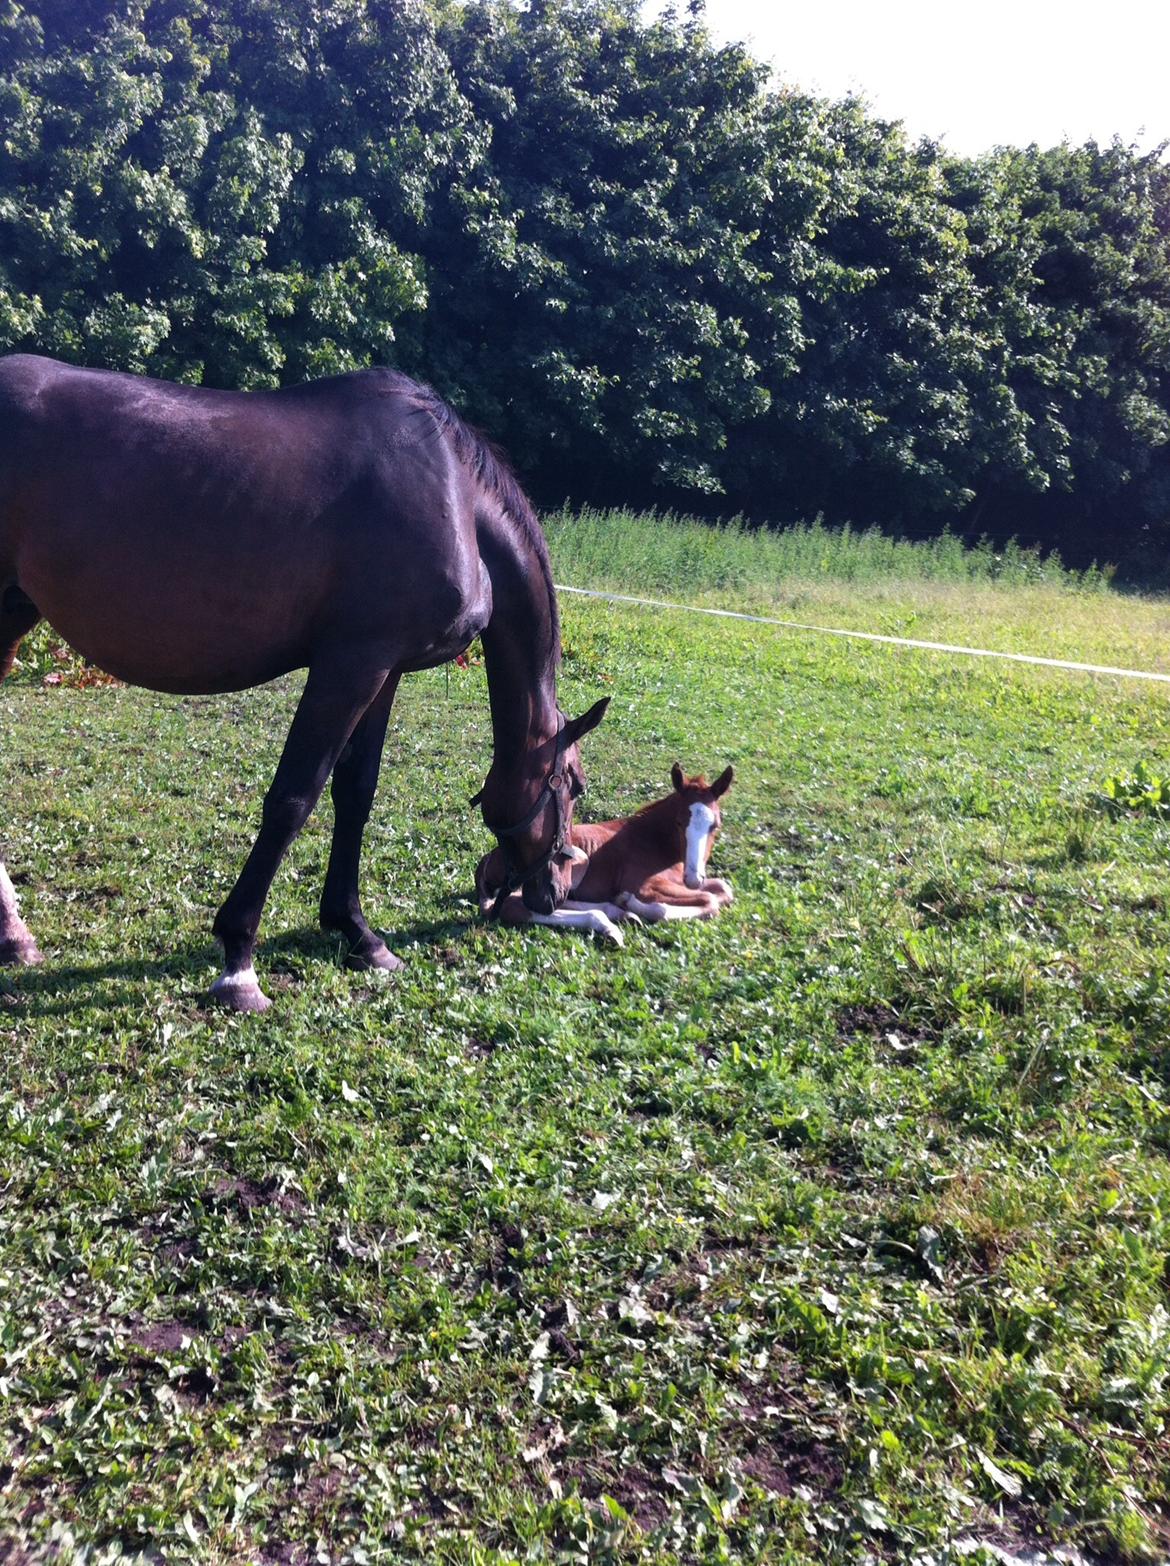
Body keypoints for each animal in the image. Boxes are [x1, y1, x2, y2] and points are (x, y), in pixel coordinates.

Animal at [0, 353, 604, 1008]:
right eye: (574, 785)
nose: (558, 889)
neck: (456, 496)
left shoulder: (385, 671)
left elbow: (355, 793)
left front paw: (358, 932)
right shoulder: (350, 666)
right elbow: (294, 798)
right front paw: (239, 960)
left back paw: (14, 937)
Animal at [476, 761, 733, 939]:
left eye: (716, 825)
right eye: (679, 822)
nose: (693, 878)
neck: (653, 840)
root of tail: (489, 858)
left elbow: (724, 889)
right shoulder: (646, 886)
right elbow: (709, 901)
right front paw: (635, 903)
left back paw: (619, 914)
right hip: (572, 862)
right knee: (515, 906)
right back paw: (611, 921)